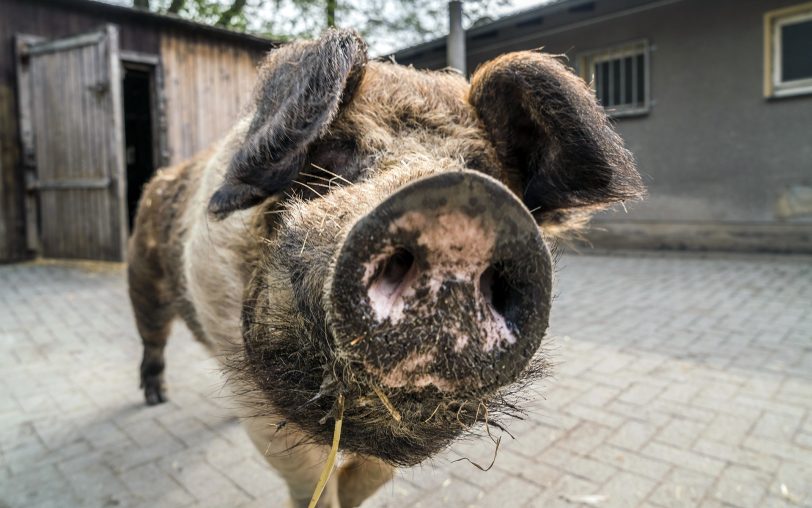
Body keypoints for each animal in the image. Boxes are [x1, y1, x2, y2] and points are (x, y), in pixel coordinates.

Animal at [127, 28, 644, 508]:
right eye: (335, 151)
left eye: (484, 170)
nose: (455, 216)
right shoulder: (256, 396)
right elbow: (309, 478)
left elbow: (374, 473)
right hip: (143, 276)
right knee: (152, 336)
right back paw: (154, 397)